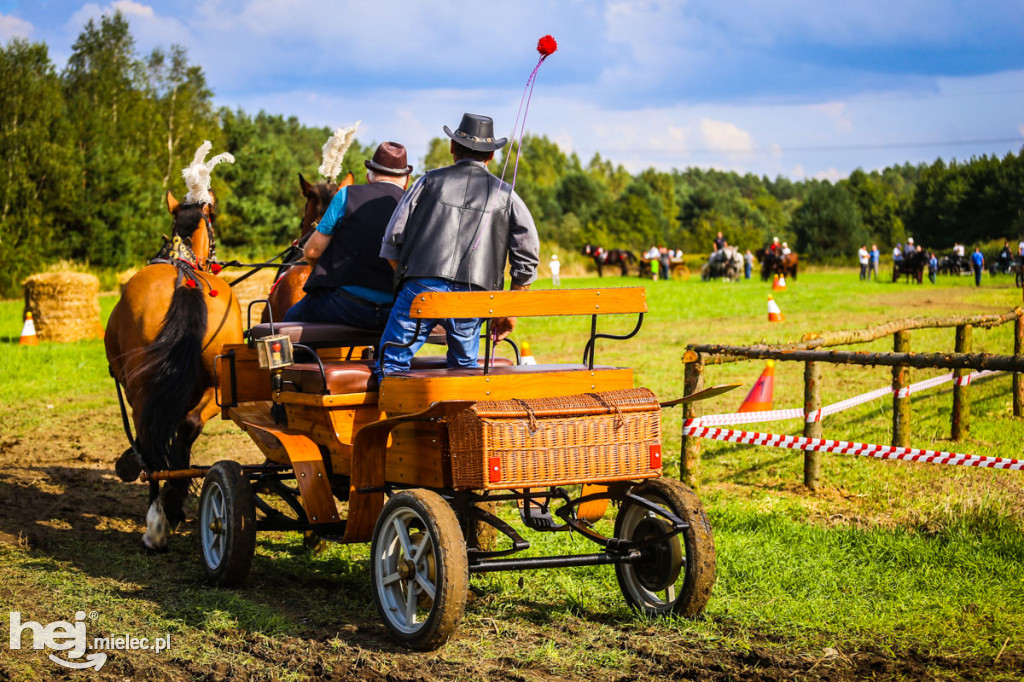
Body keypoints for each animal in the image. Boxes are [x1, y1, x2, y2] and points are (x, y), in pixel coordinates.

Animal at [104, 189, 242, 548]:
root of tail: (184, 283)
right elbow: (184, 429)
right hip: (219, 386)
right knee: (190, 425)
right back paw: (172, 502)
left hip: (142, 390)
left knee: (150, 446)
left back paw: (156, 524)